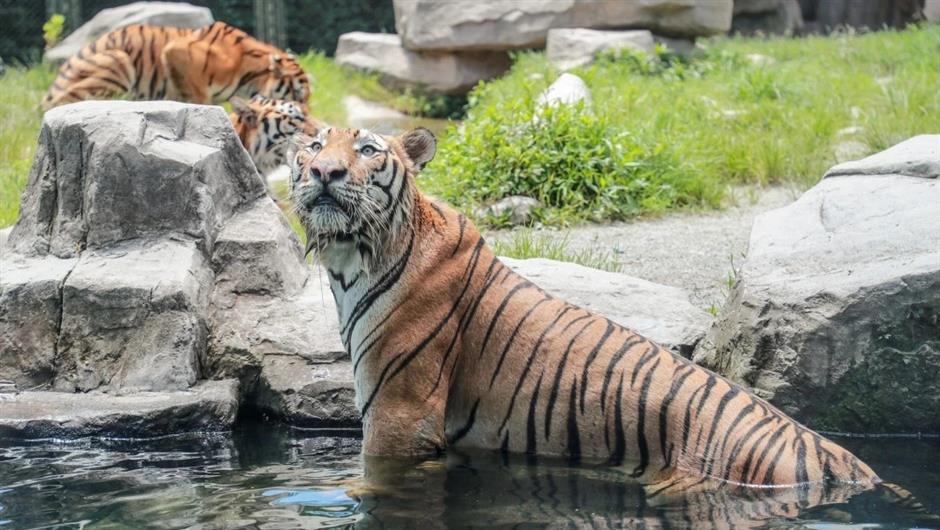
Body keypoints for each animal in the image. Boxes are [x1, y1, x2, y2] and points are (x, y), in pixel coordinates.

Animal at [43, 20, 308, 110]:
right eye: (298, 94)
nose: (307, 115)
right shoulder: (177, 51)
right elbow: (201, 98)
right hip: (119, 60)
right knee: (61, 103)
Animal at [284, 125, 880, 490]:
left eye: (366, 150)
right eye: (312, 146)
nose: (324, 173)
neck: (352, 258)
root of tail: (852, 466)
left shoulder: (399, 418)